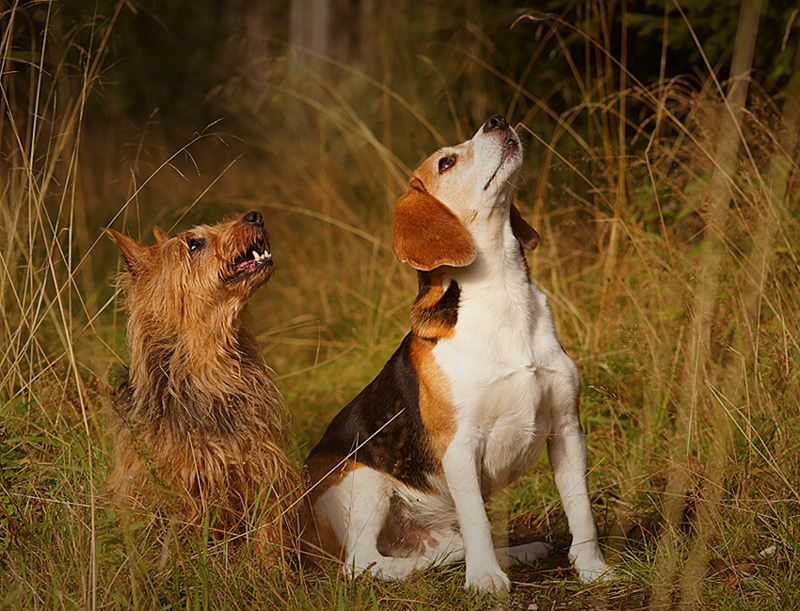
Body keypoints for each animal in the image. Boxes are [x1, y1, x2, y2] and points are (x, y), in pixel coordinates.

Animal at [106, 213, 300, 560]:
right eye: (194, 243)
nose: (254, 216)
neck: (213, 371)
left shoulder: (264, 466)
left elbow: (268, 533)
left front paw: (269, 570)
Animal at [304, 115, 612, 592]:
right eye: (446, 163)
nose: (497, 120)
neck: (502, 291)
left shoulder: (566, 428)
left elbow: (581, 509)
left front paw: (593, 569)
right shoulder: (459, 446)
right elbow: (477, 521)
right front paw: (484, 580)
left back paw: (512, 553)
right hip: (364, 482)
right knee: (364, 564)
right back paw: (444, 563)